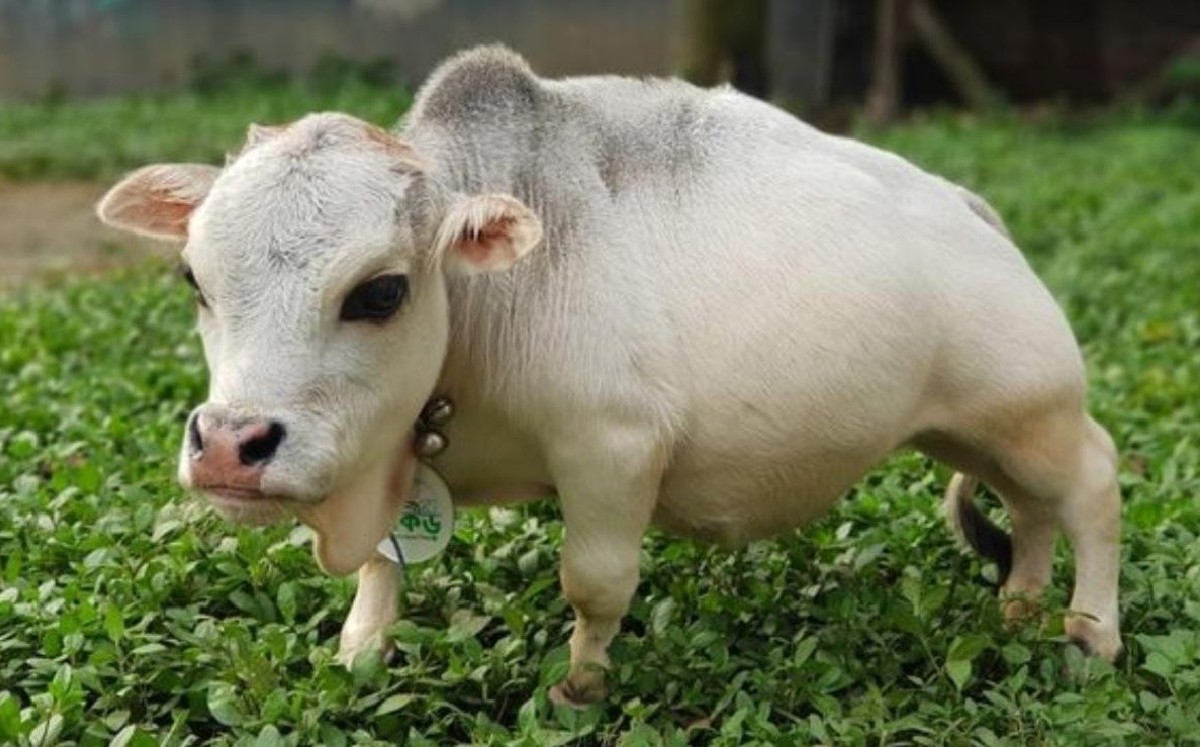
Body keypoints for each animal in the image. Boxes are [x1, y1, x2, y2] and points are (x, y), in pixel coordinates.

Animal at [95, 45, 1121, 706]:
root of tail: (975, 213)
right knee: (1031, 510)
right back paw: (1020, 605)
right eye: (194, 278)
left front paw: (580, 685)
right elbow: (385, 568)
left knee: (1094, 485)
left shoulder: (613, 448)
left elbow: (593, 582)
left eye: (380, 291)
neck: (480, 311)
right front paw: (361, 648)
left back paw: (1090, 630)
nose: (229, 445)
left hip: (1033, 414)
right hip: (973, 433)